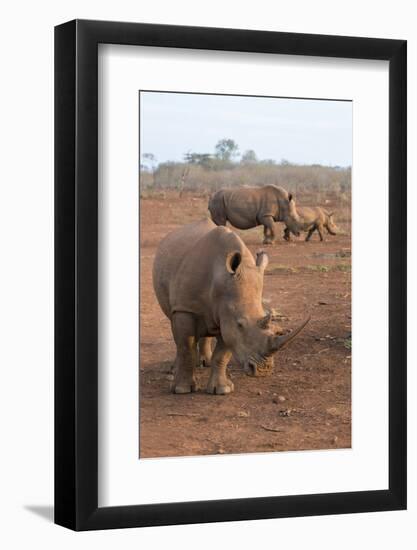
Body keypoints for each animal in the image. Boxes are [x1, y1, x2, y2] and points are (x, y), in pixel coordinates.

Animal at [151, 220, 308, 396]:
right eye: (240, 324)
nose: (263, 370)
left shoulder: (227, 317)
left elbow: (222, 354)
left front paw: (222, 389)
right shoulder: (186, 308)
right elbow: (186, 348)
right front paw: (182, 390)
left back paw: (205, 363)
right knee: (176, 328)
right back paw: (174, 370)